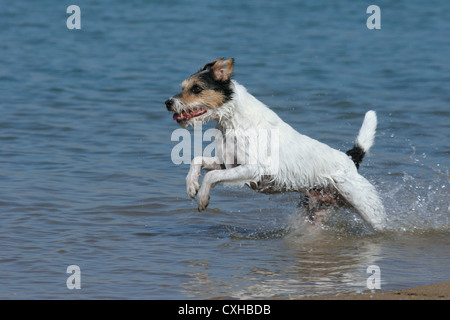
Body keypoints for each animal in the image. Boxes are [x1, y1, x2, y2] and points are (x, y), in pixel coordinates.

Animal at [165, 58, 386, 230]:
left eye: (196, 88)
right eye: (183, 87)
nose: (167, 103)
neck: (233, 120)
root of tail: (350, 160)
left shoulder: (252, 169)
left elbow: (211, 176)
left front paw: (202, 196)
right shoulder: (227, 163)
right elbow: (197, 160)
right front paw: (191, 185)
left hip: (367, 208)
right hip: (313, 213)